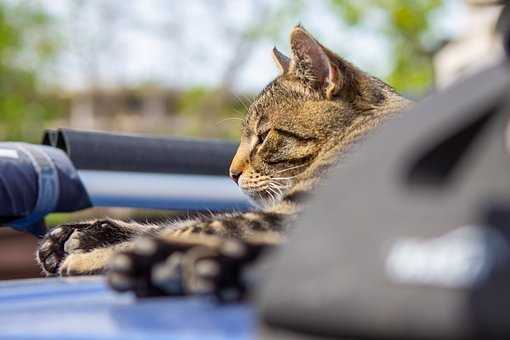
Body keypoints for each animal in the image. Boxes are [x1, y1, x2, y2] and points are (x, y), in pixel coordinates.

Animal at [35, 25, 410, 298]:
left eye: (263, 136)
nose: (231, 173)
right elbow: (170, 224)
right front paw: (82, 234)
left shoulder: (295, 214)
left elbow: (197, 226)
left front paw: (91, 255)